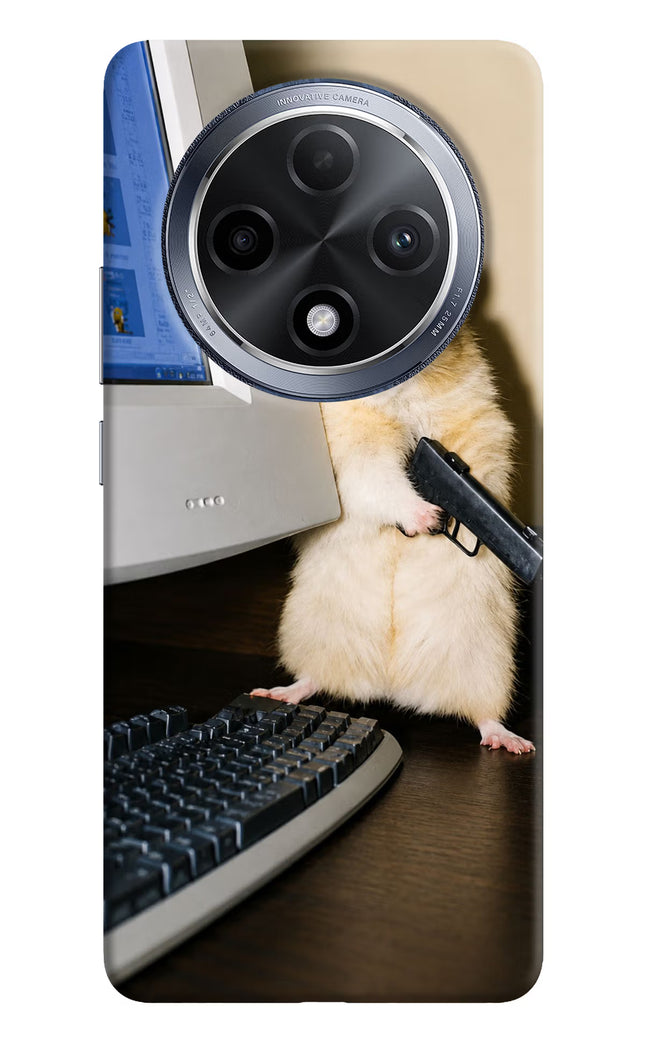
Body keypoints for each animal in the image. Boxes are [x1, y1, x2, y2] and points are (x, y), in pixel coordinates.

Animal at [252, 324, 535, 754]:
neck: (402, 398)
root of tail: (392, 686)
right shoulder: (354, 450)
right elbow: (380, 482)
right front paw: (427, 518)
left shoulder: (480, 428)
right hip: (314, 633)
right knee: (314, 678)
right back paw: (274, 693)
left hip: (487, 661)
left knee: (484, 713)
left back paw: (512, 742)